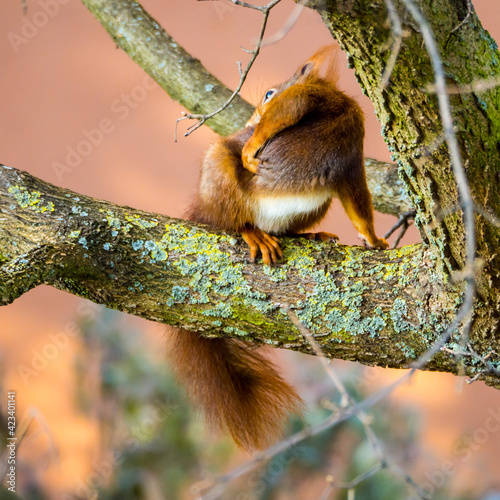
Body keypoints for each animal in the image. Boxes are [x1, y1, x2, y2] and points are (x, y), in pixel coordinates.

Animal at [166, 47, 388, 452]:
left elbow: (360, 208)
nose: (252, 117)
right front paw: (252, 147)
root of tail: (202, 209)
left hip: (313, 205)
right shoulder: (312, 101)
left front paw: (374, 240)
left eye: (268, 93)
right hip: (221, 178)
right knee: (230, 222)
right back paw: (252, 232)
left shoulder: (350, 165)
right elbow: (287, 112)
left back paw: (311, 237)